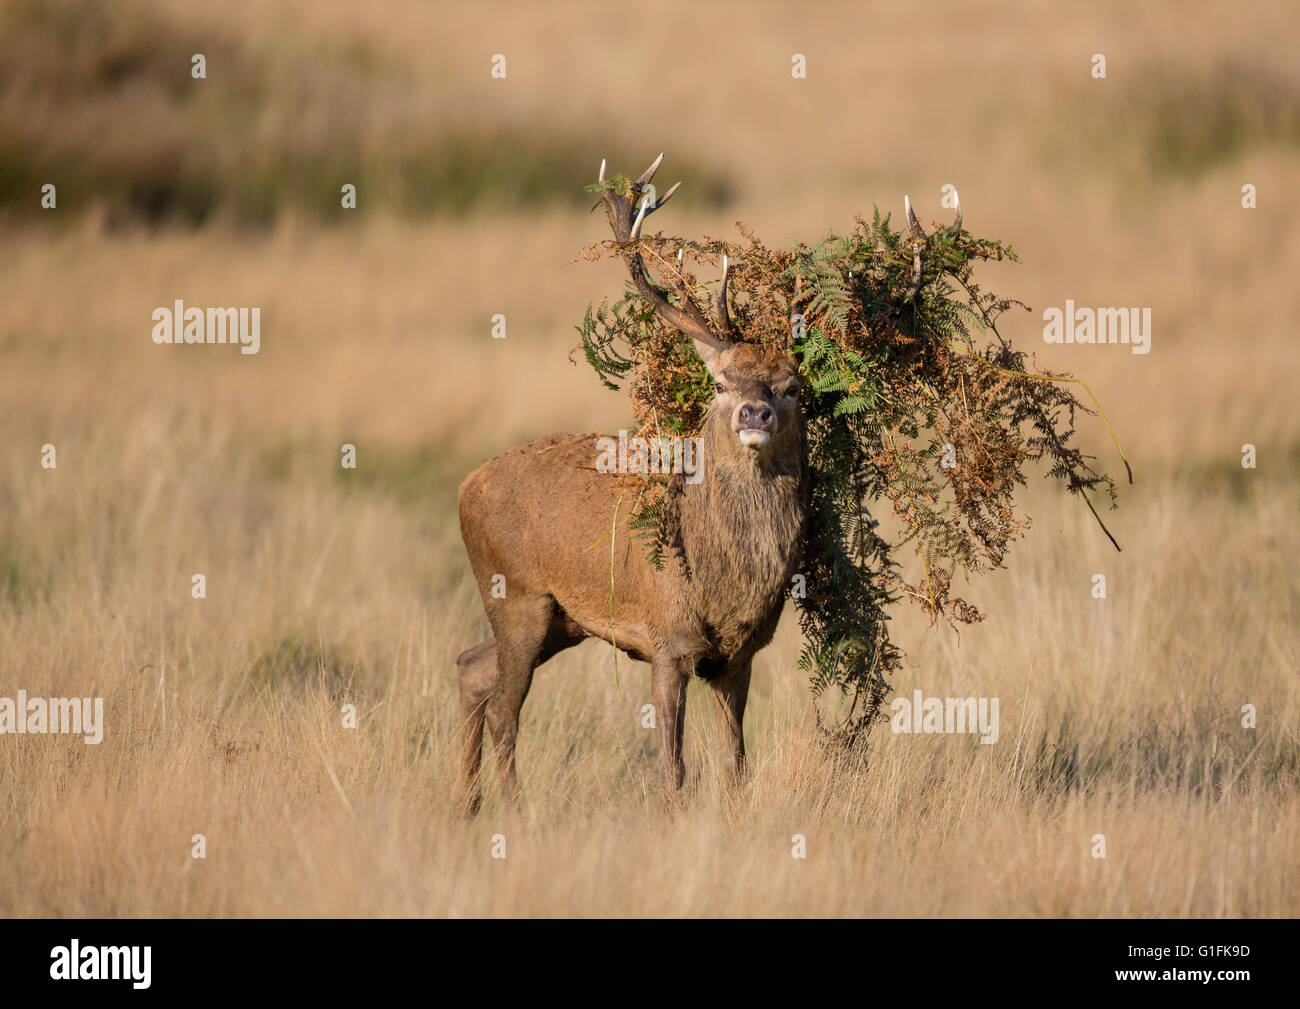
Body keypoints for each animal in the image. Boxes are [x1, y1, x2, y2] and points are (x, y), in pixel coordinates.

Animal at [455, 153, 810, 815]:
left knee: (471, 667)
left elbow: (736, 765)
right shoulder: (668, 640)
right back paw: (512, 810)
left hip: (560, 619)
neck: (721, 582)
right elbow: (673, 768)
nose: (755, 413)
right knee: (504, 709)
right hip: (516, 592)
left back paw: (464, 806)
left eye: (792, 387)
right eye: (721, 382)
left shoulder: (740, 657)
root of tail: (466, 485)